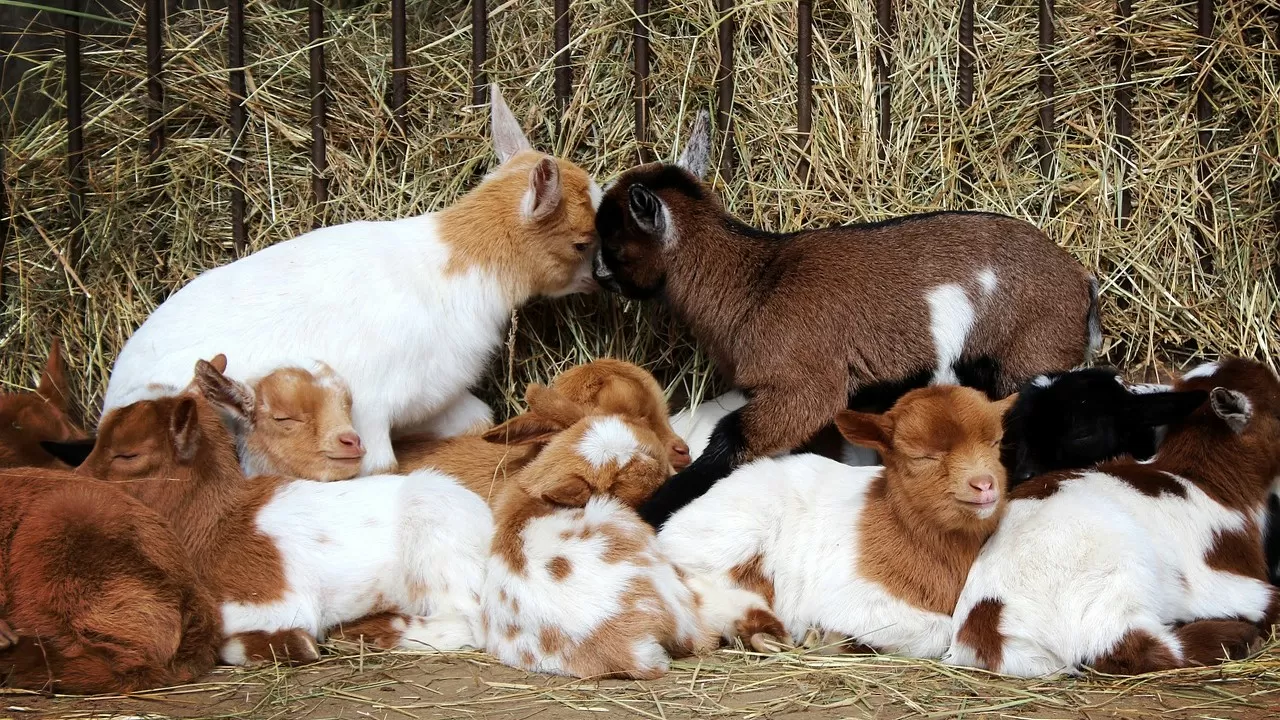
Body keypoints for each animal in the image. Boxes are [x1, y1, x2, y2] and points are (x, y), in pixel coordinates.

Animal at [588, 113, 1100, 527]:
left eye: (614, 242)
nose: (596, 273)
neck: (756, 282)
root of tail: (1082, 280)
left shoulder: (805, 386)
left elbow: (732, 436)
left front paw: (652, 508)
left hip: (1030, 357)